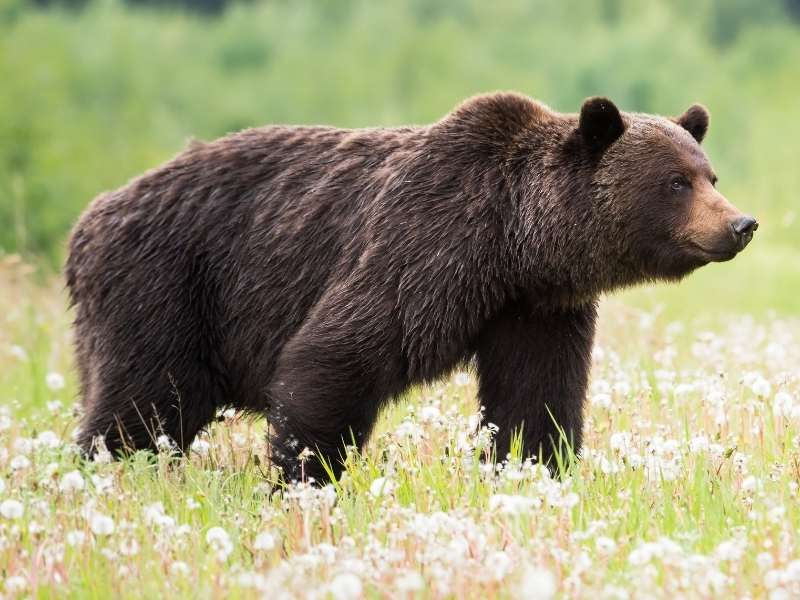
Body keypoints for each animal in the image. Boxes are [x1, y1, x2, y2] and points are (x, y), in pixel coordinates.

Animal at [67, 94, 756, 482]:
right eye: (675, 182)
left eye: (709, 174)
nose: (740, 224)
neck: (513, 244)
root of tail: (91, 216)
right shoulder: (424, 248)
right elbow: (336, 353)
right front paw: (306, 474)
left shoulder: (536, 309)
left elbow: (535, 396)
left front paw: (535, 467)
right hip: (165, 288)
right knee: (144, 401)